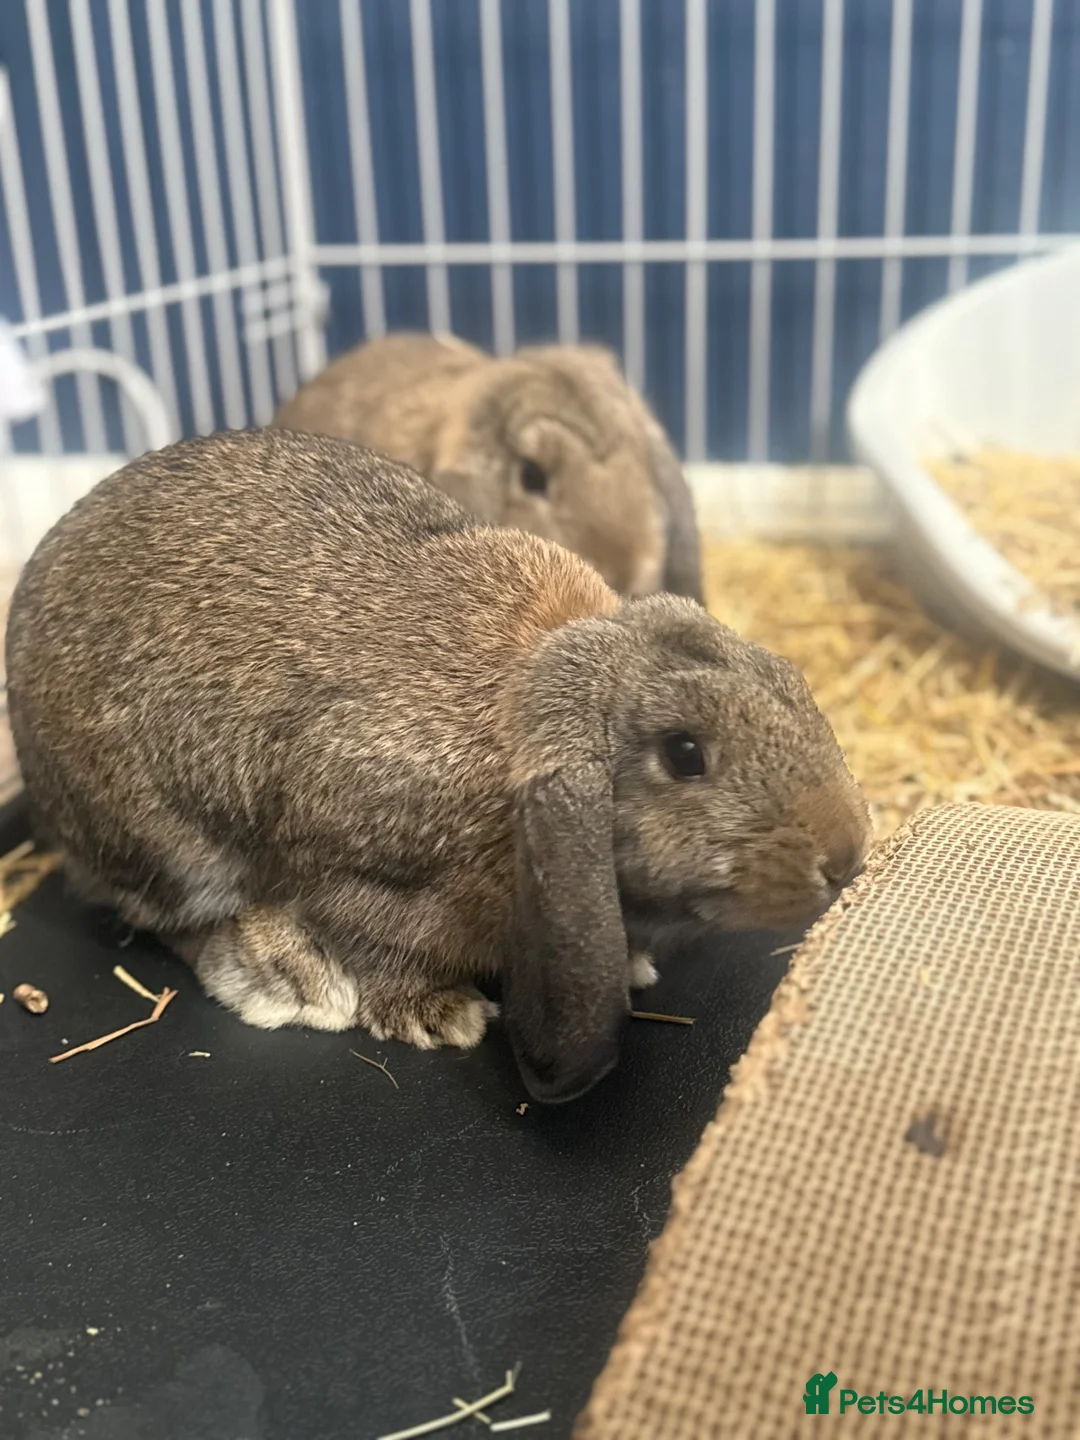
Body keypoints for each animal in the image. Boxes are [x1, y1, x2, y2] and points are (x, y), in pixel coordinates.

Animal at [6, 428, 871, 1103]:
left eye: (790, 680)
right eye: (685, 753)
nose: (847, 856)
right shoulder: (356, 864)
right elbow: (377, 949)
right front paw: (437, 1016)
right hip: (164, 842)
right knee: (168, 918)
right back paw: (286, 979)